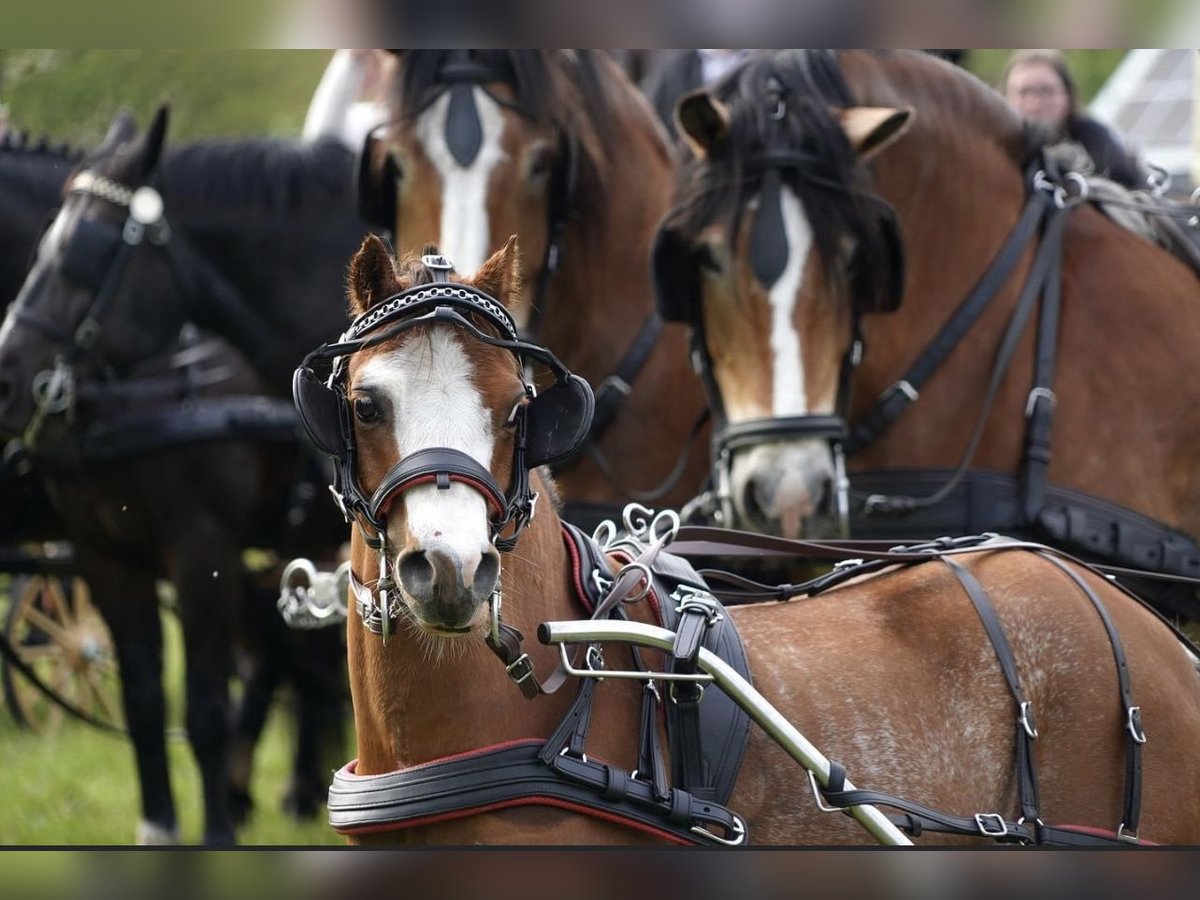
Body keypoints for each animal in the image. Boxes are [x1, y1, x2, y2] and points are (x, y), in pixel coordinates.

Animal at [0, 114, 360, 844]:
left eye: (80, 257)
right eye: (41, 245)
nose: (7, 373)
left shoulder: (202, 551)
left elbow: (203, 706)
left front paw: (217, 832)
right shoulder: (104, 555)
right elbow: (143, 700)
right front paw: (162, 827)